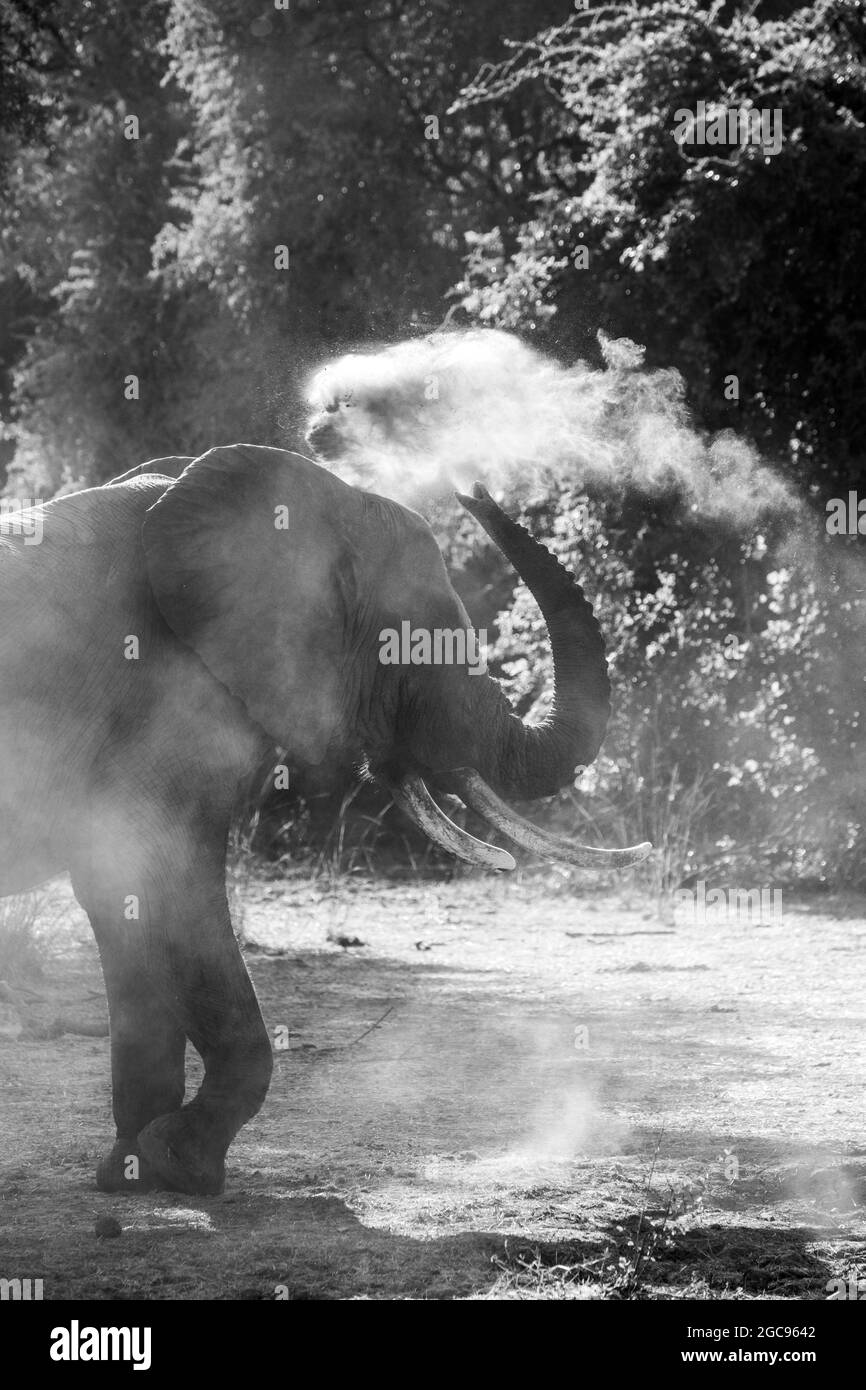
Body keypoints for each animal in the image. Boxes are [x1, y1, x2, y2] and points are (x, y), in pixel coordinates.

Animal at [0, 444, 650, 1195]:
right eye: (411, 645)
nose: (477, 489)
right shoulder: (172, 695)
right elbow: (166, 884)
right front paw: (185, 1164)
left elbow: (123, 900)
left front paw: (136, 1170)